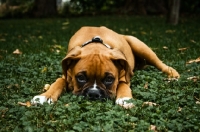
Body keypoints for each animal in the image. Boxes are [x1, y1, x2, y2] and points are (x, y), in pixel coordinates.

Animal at [31, 26, 180, 108]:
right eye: (81, 78)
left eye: (109, 79)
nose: (93, 94)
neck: (96, 45)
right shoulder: (66, 75)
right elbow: (58, 82)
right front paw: (45, 96)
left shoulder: (123, 76)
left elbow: (123, 84)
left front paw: (125, 98)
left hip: (139, 45)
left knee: (160, 63)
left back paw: (173, 74)